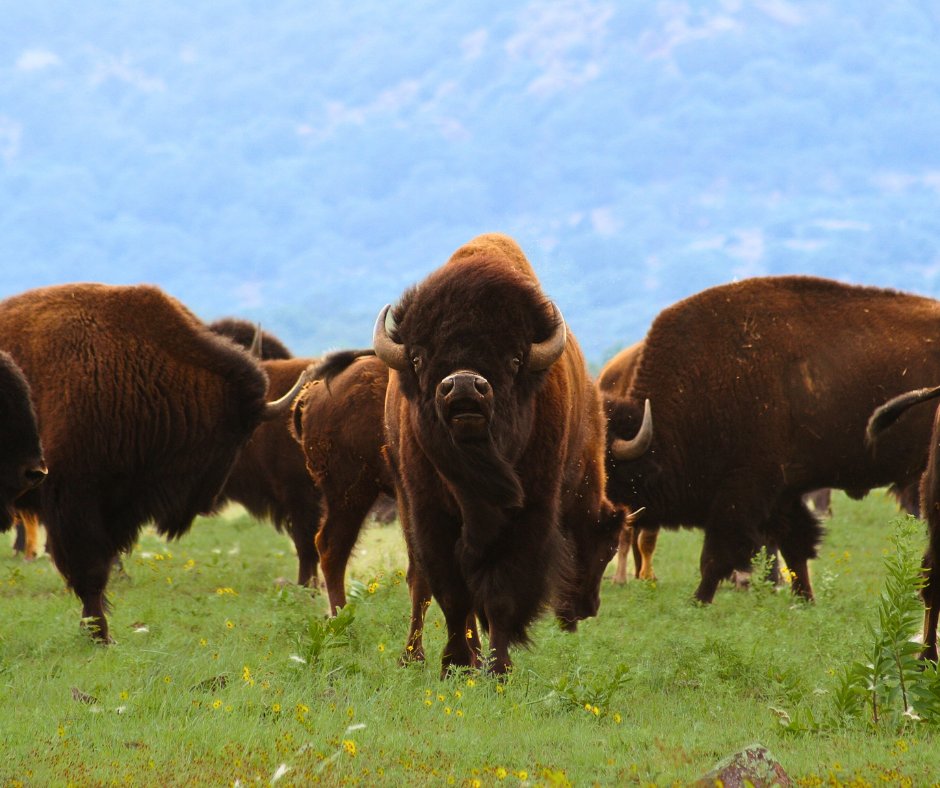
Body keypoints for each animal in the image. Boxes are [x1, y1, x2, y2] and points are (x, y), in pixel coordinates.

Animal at [0, 284, 308, 642]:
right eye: (237, 436)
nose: (208, 501)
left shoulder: (115, 506)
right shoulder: (75, 502)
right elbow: (90, 572)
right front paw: (100, 635)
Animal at [374, 233, 625, 674]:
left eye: (514, 358)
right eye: (419, 357)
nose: (463, 386)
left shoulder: (528, 516)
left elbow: (499, 597)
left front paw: (497, 668)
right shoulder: (430, 515)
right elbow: (452, 594)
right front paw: (455, 663)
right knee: (420, 582)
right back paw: (414, 657)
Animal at [604, 275, 940, 604]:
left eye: (608, 468)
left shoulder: (742, 492)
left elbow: (716, 555)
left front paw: (698, 600)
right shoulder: (782, 495)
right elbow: (794, 547)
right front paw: (804, 599)